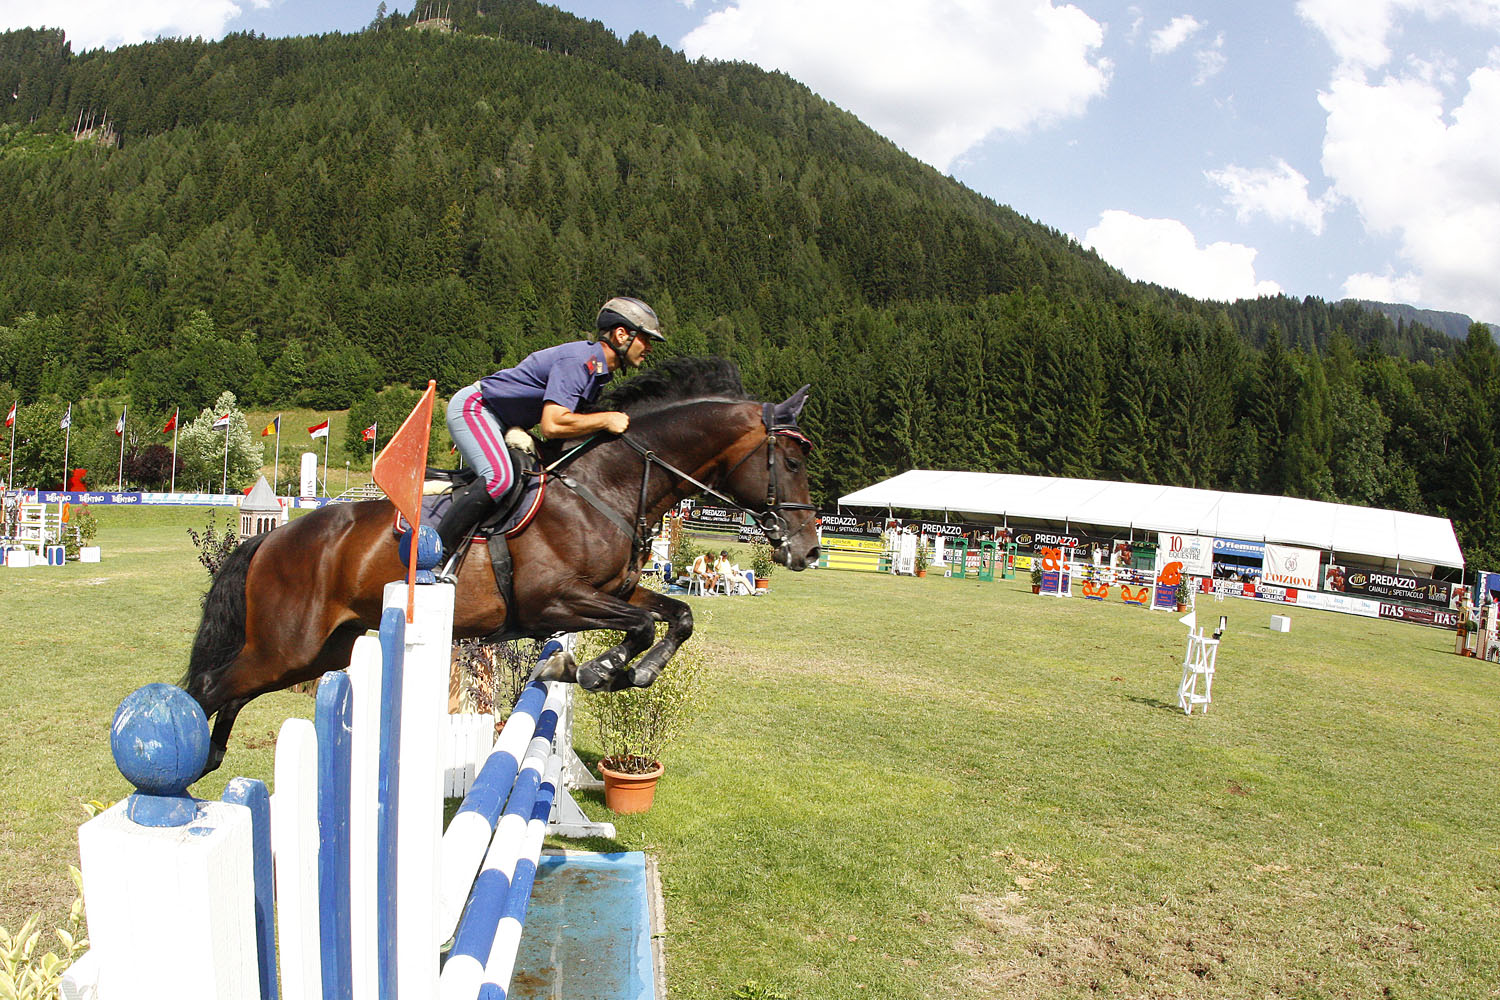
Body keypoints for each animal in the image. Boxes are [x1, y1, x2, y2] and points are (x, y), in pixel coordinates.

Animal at [190, 359, 822, 773]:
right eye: (791, 462)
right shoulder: (551, 601)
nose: (808, 549)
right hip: (286, 646)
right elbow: (643, 626)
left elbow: (677, 615)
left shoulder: (618, 591)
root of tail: (274, 538)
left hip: (321, 650)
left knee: (231, 692)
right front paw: (596, 670)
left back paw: (207, 757)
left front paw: (623, 672)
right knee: (212, 686)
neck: (607, 488)